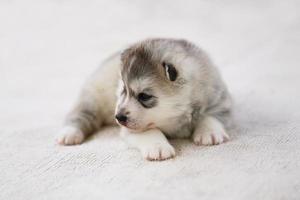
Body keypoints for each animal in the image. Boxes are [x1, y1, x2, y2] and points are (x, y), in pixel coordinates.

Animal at [56, 38, 232, 162]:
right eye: (123, 90)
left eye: (144, 96)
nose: (118, 117)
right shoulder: (132, 128)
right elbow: (151, 131)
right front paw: (158, 147)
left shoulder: (220, 100)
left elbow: (210, 116)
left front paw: (210, 133)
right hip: (93, 98)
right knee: (80, 114)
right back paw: (69, 133)